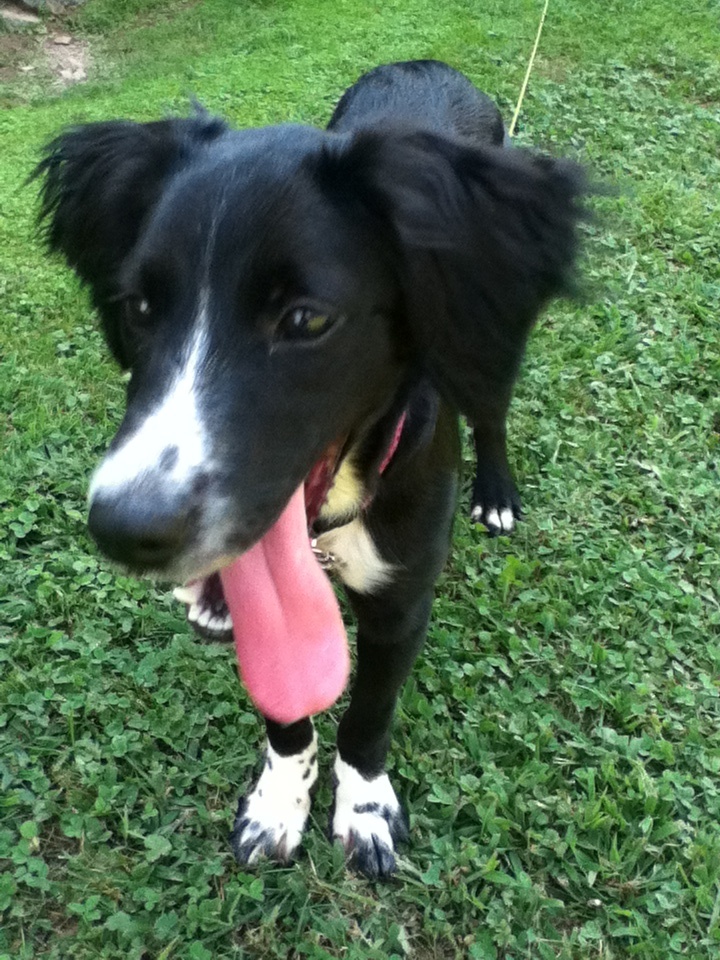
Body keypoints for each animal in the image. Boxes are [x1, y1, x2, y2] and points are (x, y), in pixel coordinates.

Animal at [35, 60, 584, 876]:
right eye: (138, 306)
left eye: (306, 320)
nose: (125, 529)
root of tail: (430, 65)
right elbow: (286, 712)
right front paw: (278, 803)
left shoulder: (401, 601)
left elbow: (368, 717)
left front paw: (364, 809)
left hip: (485, 329)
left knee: (490, 407)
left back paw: (496, 491)